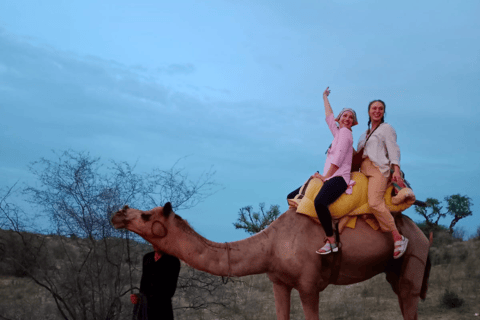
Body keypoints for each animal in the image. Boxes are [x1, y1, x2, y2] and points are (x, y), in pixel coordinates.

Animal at [111, 204, 432, 318]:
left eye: (146, 216)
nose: (118, 213)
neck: (272, 245)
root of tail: (422, 234)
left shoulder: (309, 285)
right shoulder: (279, 282)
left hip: (413, 257)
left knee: (409, 298)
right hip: (394, 269)